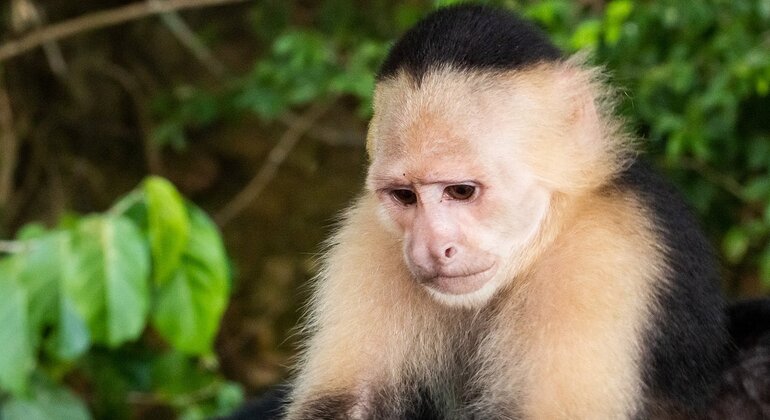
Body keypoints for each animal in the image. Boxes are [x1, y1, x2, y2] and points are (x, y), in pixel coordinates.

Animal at [270, 4, 768, 420]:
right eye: (405, 197)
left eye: (462, 191)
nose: (432, 247)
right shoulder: (369, 236)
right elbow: (348, 402)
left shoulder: (603, 254)